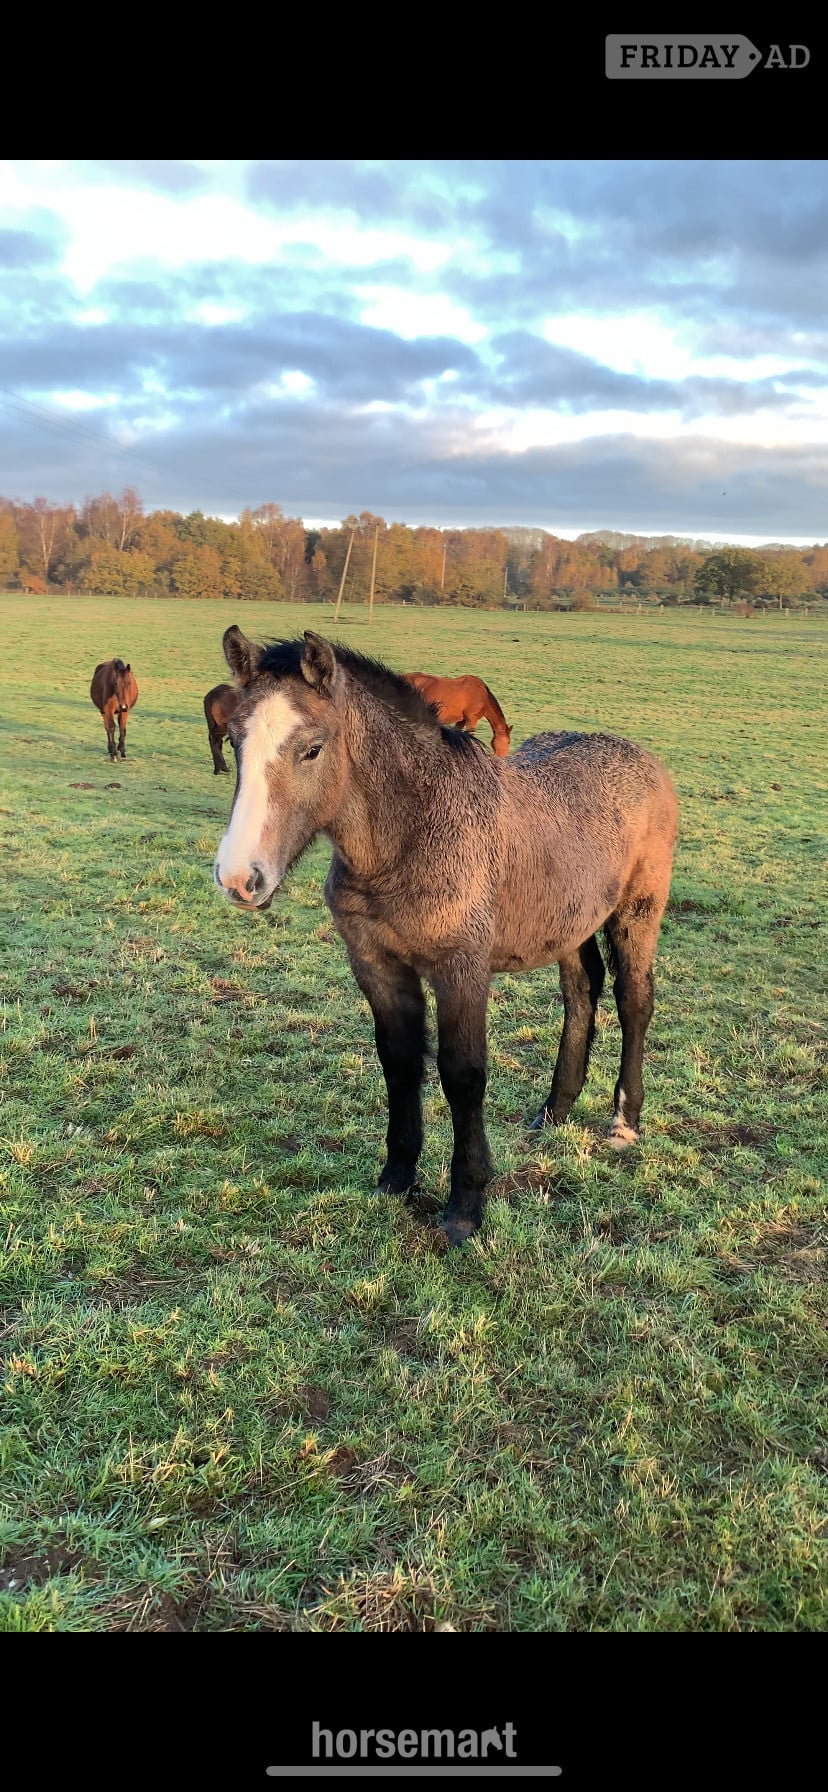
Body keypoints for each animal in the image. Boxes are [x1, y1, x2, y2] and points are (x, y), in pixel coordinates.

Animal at [213, 627, 678, 1246]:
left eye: (311, 748)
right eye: (234, 740)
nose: (240, 878)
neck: (411, 835)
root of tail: (645, 760)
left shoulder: (462, 969)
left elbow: (463, 1075)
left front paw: (465, 1204)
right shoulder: (377, 964)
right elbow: (400, 1062)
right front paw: (397, 1177)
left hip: (636, 913)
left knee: (634, 1001)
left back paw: (624, 1122)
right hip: (572, 922)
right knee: (582, 992)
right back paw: (554, 1109)